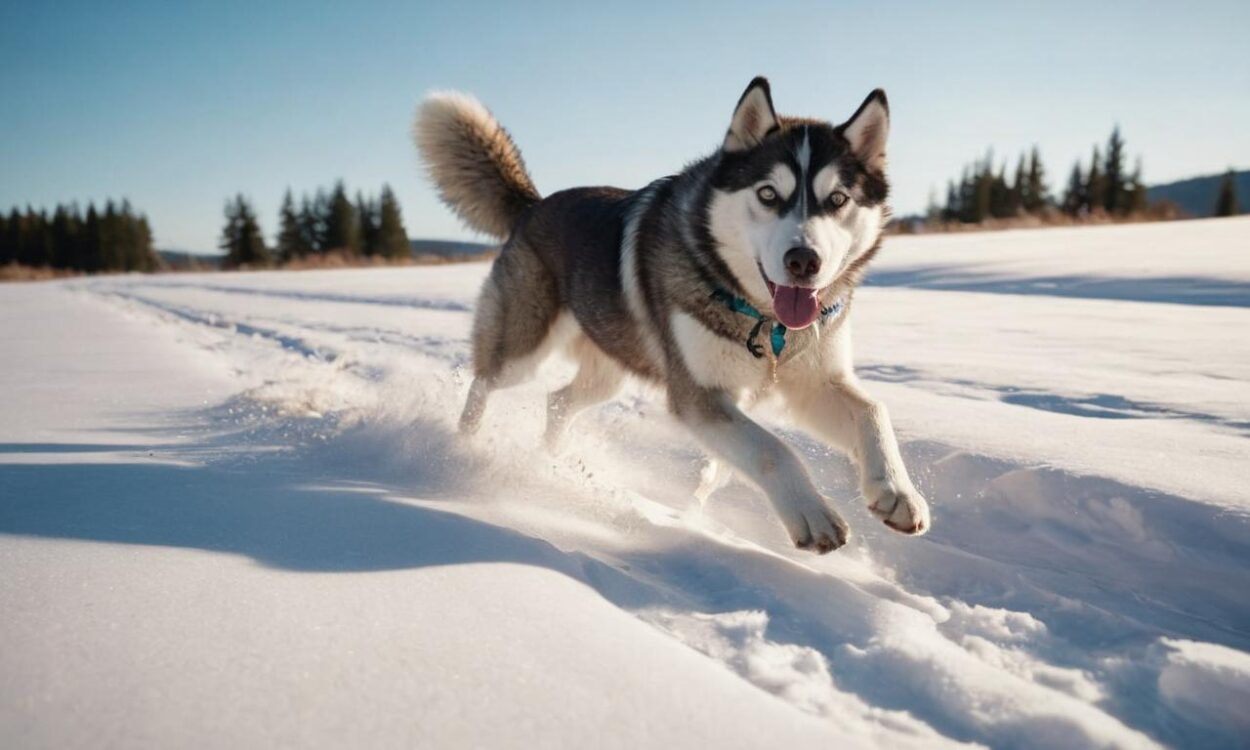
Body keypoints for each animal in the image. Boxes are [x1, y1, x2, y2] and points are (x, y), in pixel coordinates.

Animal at [417, 79, 930, 552]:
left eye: (838, 199)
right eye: (768, 194)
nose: (804, 261)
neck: (769, 322)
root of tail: (534, 204)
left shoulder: (815, 382)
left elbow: (873, 411)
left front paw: (897, 492)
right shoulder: (699, 396)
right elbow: (772, 449)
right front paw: (811, 512)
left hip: (609, 369)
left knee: (558, 401)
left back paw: (548, 460)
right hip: (523, 349)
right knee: (483, 384)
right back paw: (463, 445)